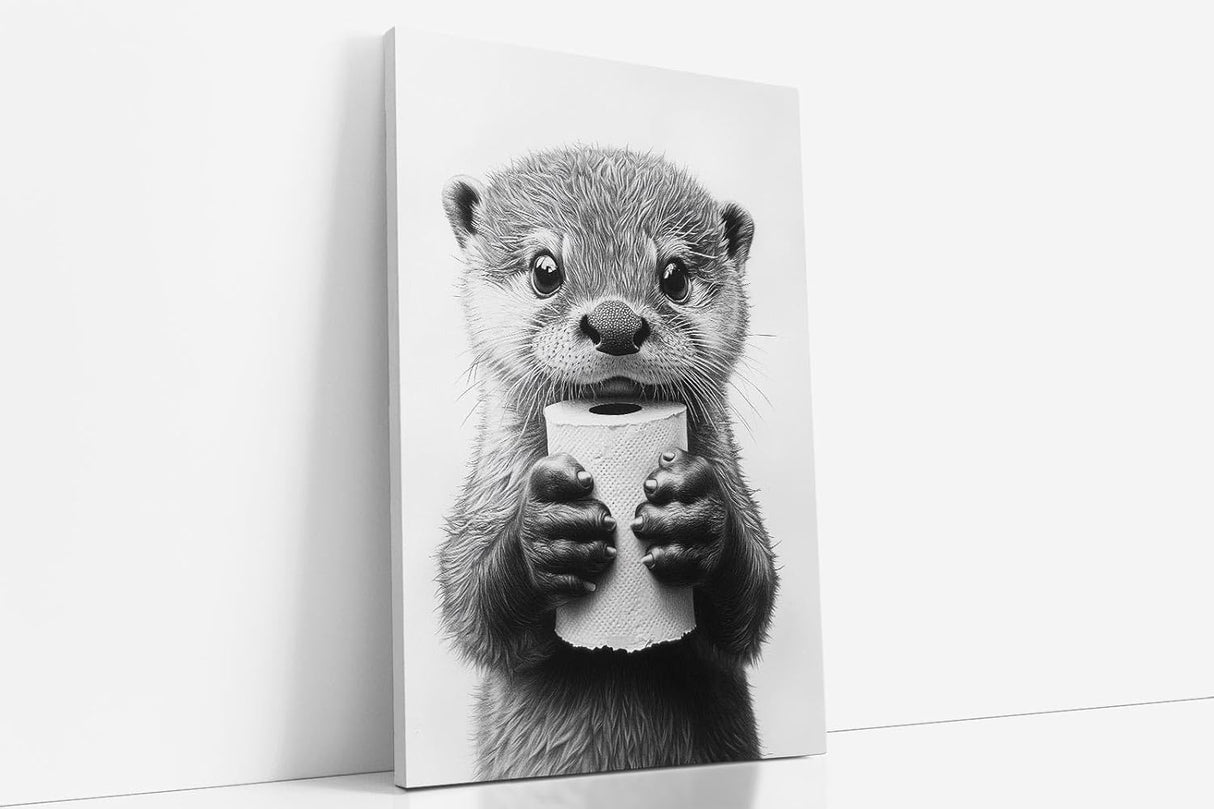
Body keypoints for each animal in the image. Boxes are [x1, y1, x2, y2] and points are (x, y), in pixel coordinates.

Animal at [437, 146, 778, 780]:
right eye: (546, 270)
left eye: (674, 276)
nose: (616, 324)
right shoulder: (481, 505)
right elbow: (468, 605)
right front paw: (549, 535)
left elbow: (753, 603)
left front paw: (695, 520)